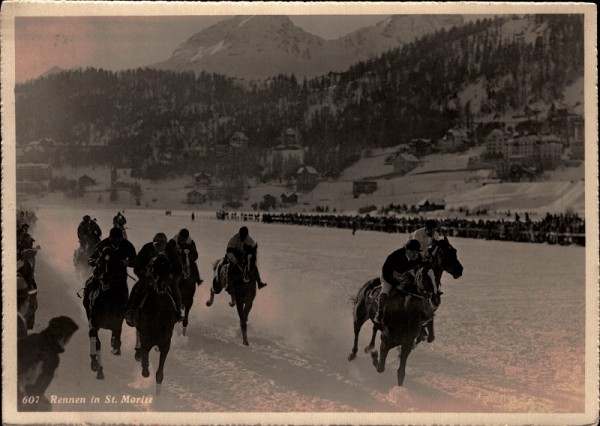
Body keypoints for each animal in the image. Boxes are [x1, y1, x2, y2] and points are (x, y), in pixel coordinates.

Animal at [83, 245, 129, 382]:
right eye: (100, 262)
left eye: (113, 263)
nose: (105, 279)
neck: (107, 299)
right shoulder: (93, 320)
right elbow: (95, 340)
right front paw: (95, 365)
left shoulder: (117, 320)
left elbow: (116, 338)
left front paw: (115, 347)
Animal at [346, 238, 464, 388]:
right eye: (423, 276)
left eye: (455, 251)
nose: (460, 270)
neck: (406, 312)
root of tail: (368, 284)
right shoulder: (386, 342)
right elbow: (381, 367)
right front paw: (374, 355)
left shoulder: (407, 342)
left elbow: (401, 372)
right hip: (359, 314)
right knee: (356, 330)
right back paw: (354, 354)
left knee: (374, 327)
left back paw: (370, 347)